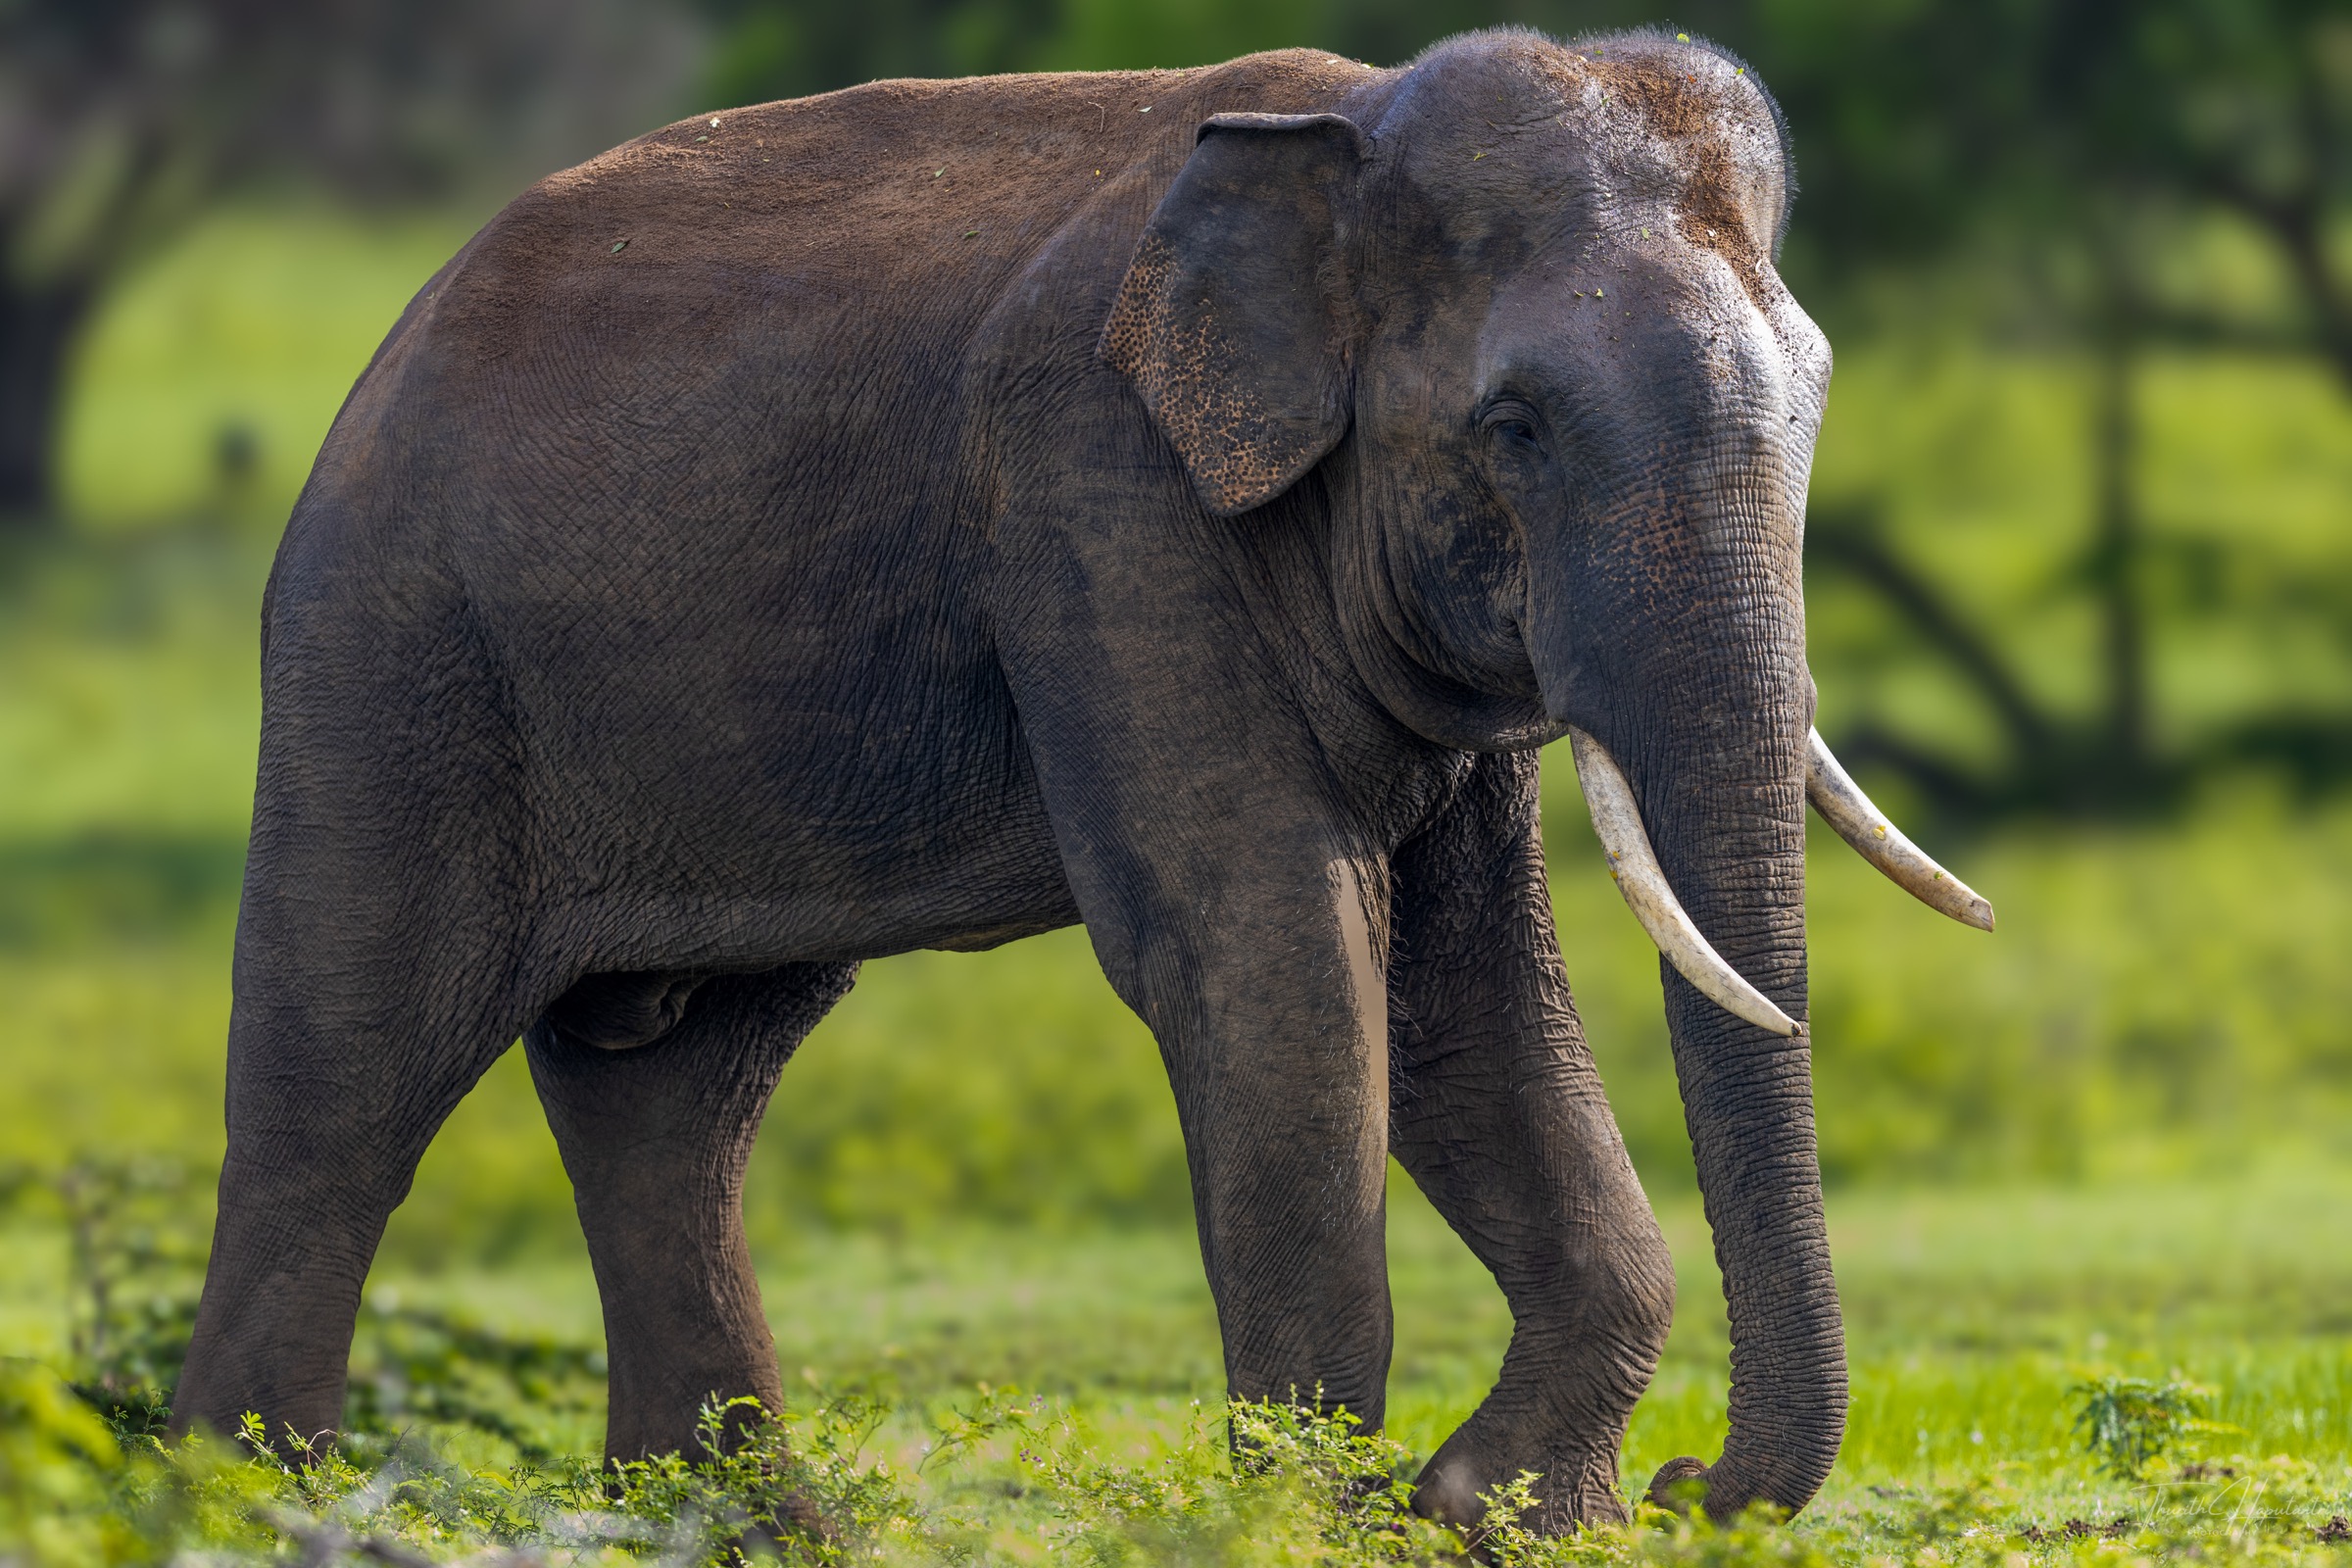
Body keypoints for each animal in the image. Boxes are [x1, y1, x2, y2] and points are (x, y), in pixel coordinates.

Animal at [170, 25, 1991, 1530]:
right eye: (1518, 428)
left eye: (1817, 405)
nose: (1698, 1492)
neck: (1352, 126)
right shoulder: (1098, 490)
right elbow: (1269, 950)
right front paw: (1327, 1519)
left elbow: (1464, 993)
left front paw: (1501, 1514)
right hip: (391, 648)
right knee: (348, 1075)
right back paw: (254, 1506)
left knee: (678, 1084)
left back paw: (727, 1524)